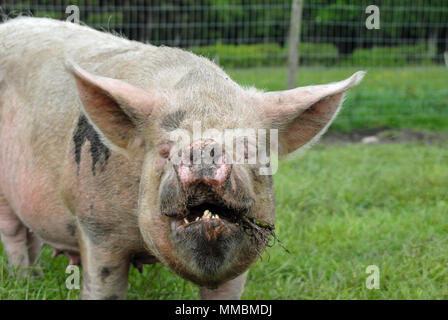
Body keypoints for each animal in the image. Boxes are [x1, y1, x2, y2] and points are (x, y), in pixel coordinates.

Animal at [0, 16, 364, 298]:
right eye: (164, 150)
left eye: (248, 148)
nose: (204, 148)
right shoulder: (96, 228)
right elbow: (103, 286)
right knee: (14, 235)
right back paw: (26, 281)